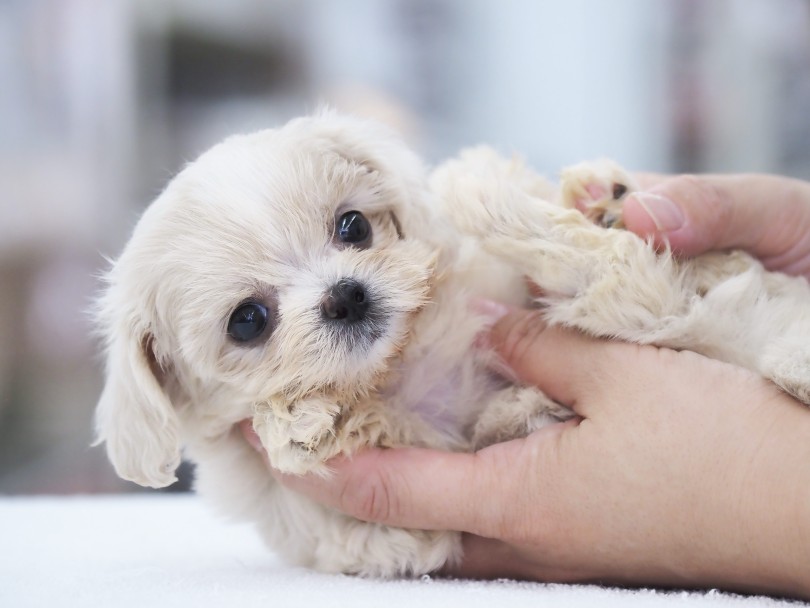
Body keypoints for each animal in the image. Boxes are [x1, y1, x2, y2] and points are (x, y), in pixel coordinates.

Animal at [98, 110, 808, 580]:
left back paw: (569, 200)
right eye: (247, 322)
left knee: (626, 276)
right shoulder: (299, 507)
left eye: (352, 227)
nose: (346, 295)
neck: (395, 368)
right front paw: (302, 421)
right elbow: (358, 522)